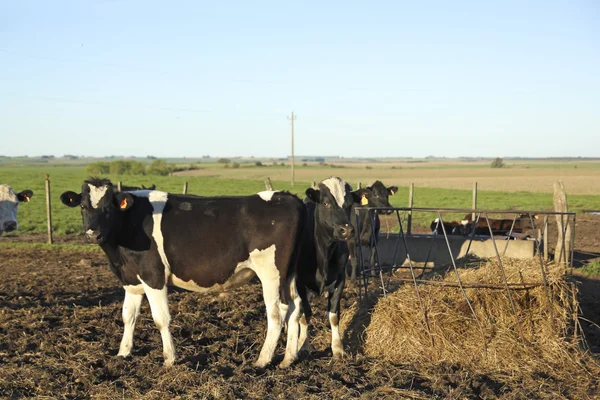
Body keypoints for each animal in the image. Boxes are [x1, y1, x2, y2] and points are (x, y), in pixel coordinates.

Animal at [59, 180, 304, 368]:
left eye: (108, 208)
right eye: (83, 207)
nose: (93, 234)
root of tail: (287, 197)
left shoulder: (153, 276)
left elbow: (161, 319)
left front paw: (169, 359)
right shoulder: (131, 280)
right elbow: (128, 316)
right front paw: (123, 353)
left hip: (271, 273)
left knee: (277, 312)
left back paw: (262, 360)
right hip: (289, 275)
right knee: (295, 307)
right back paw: (288, 359)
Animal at [296, 177, 356, 360]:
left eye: (350, 203)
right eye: (326, 203)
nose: (346, 230)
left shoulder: (340, 279)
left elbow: (334, 315)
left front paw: (338, 348)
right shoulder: (299, 282)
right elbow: (305, 315)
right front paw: (303, 346)